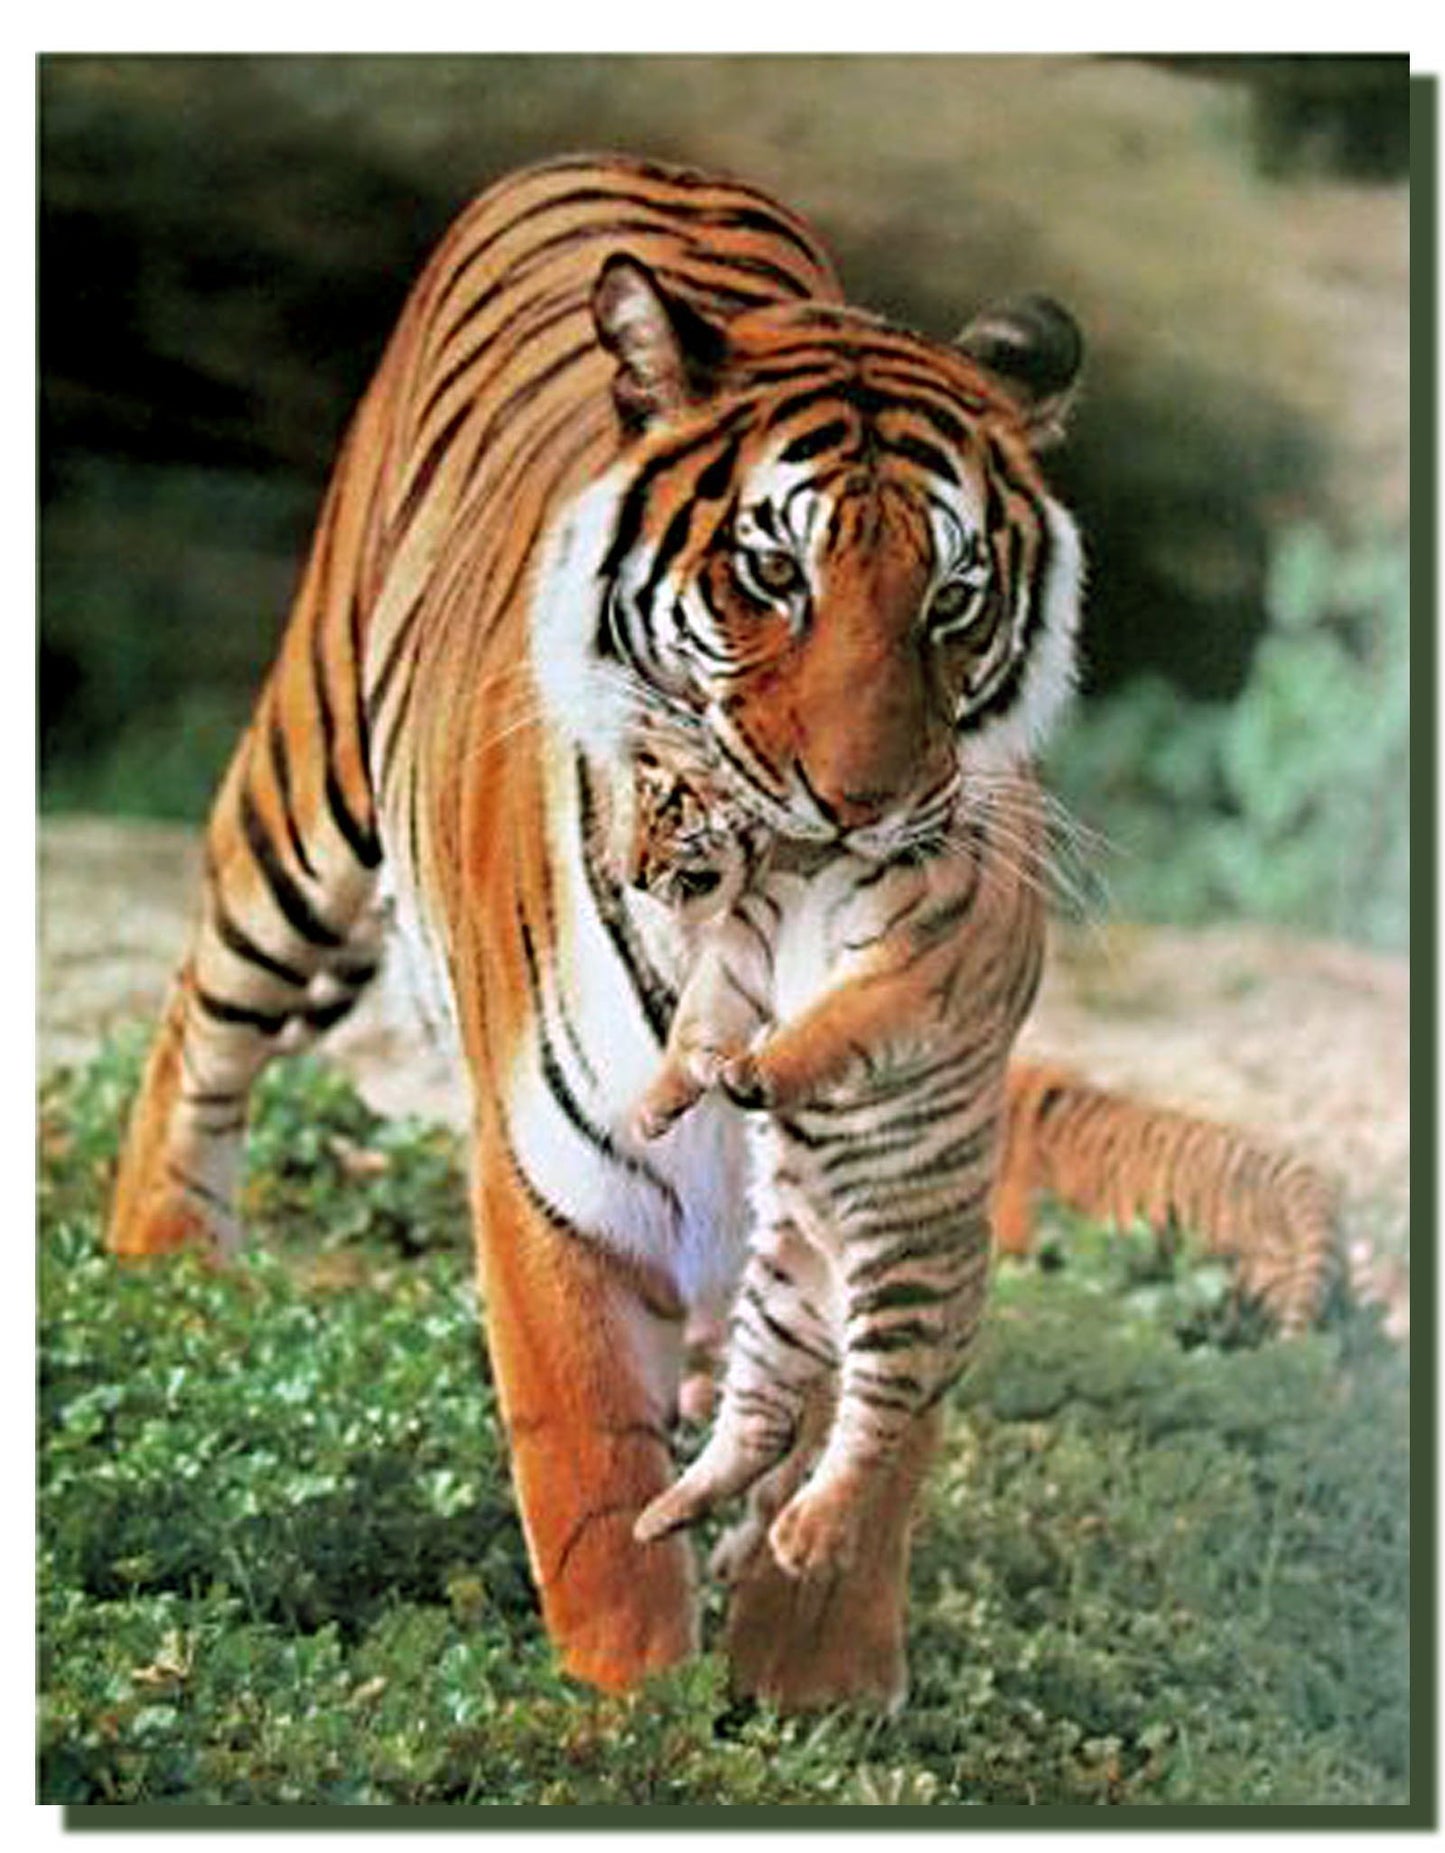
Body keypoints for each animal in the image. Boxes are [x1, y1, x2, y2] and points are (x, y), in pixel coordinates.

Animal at [104, 153, 1342, 1713]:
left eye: (952, 597)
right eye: (773, 577)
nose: (863, 803)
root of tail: (625, 157)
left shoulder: (906, 1172)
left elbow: (870, 1424)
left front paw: (815, 1679)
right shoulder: (565, 1178)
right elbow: (593, 1480)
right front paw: (640, 1710)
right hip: (306, 792)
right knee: (202, 1017)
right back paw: (164, 1264)